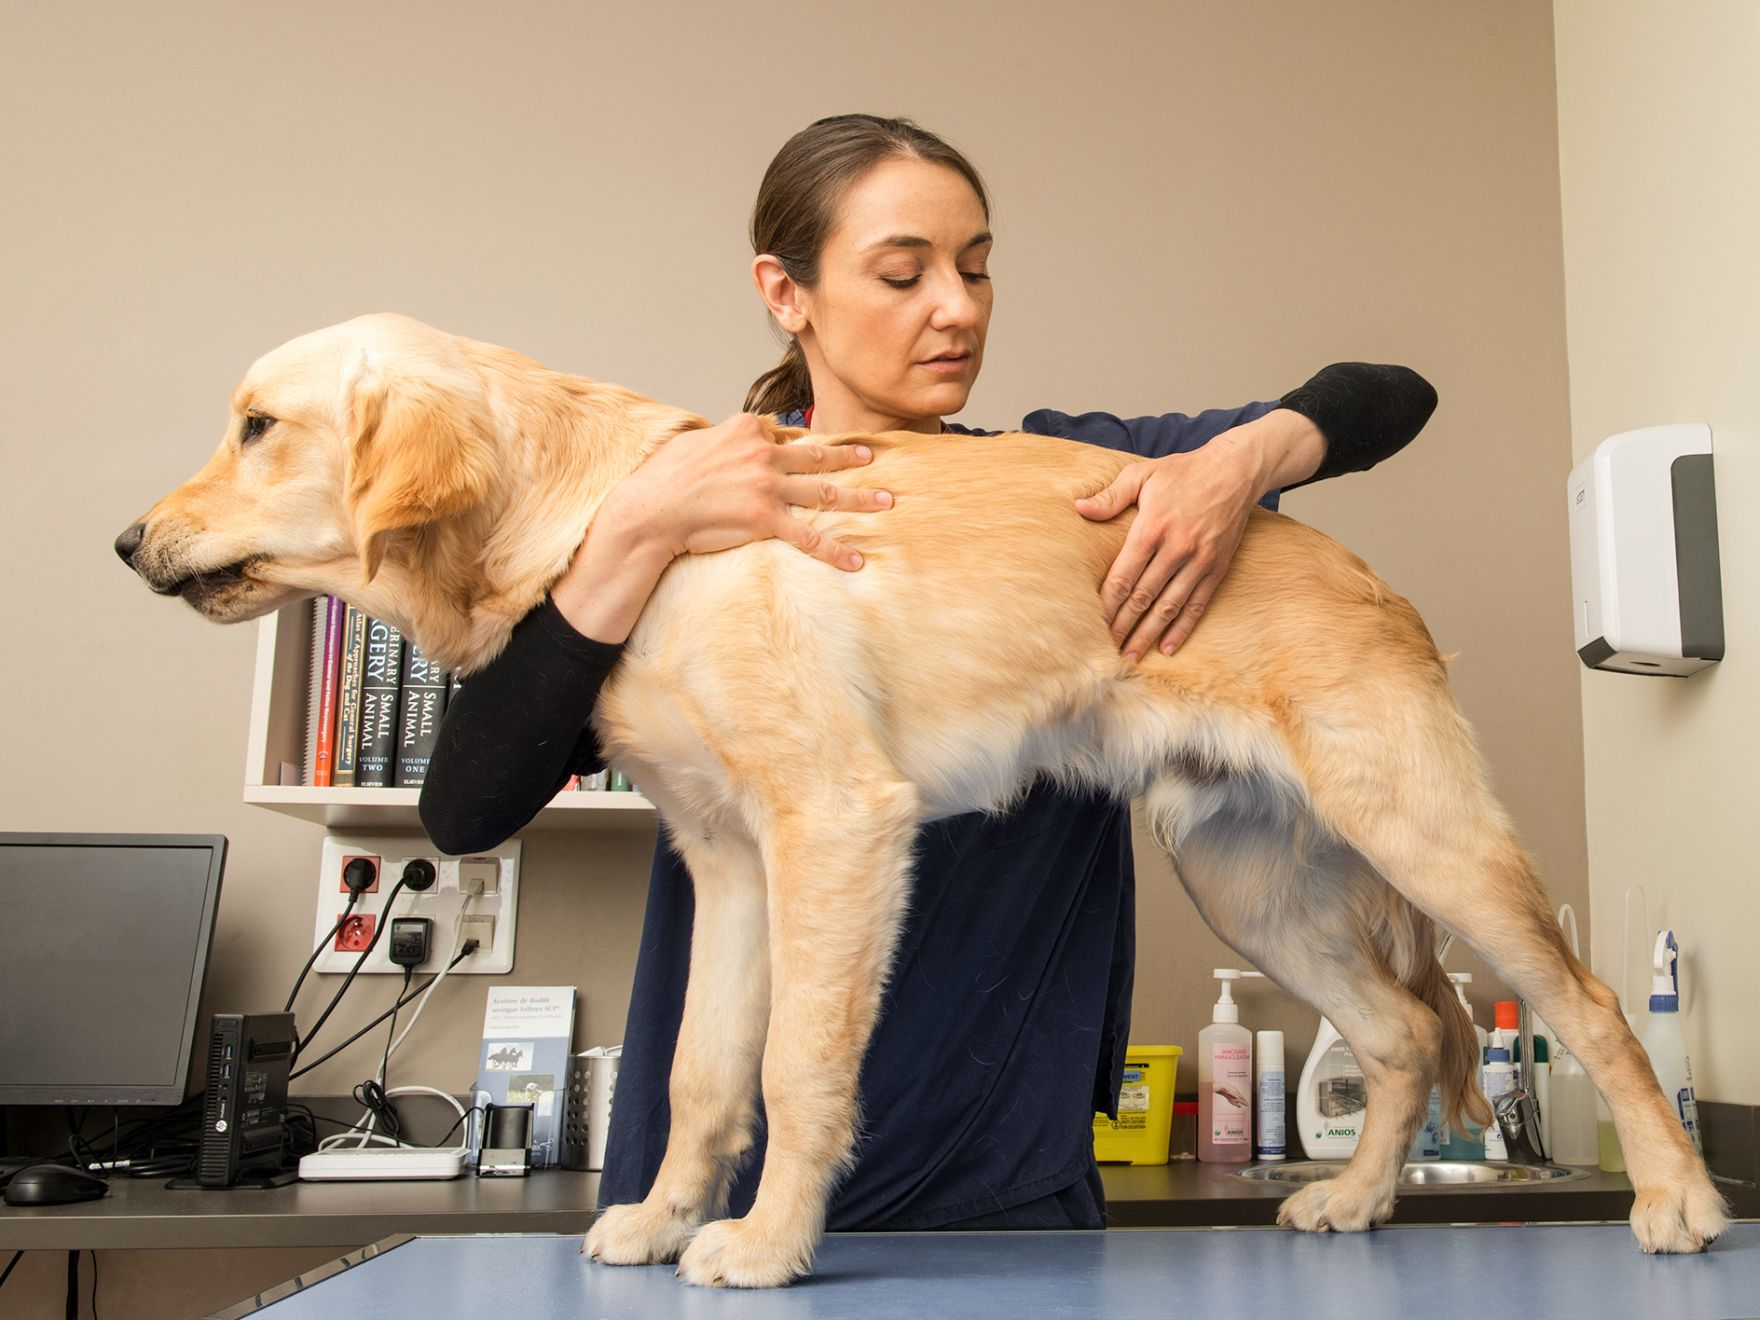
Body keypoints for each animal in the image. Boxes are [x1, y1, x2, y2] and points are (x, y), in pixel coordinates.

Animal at [117, 315, 1724, 1288]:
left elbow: (796, 1071)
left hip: (1423, 833)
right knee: (1395, 1034)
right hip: (1251, 879)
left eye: (257, 425)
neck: (615, 530)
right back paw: (1356, 1201)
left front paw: (767, 1246)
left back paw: (1677, 1200)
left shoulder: (833, 822)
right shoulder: (728, 857)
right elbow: (702, 1070)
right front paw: (662, 1216)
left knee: (1582, 1005)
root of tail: (1358, 568)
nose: (127, 540)